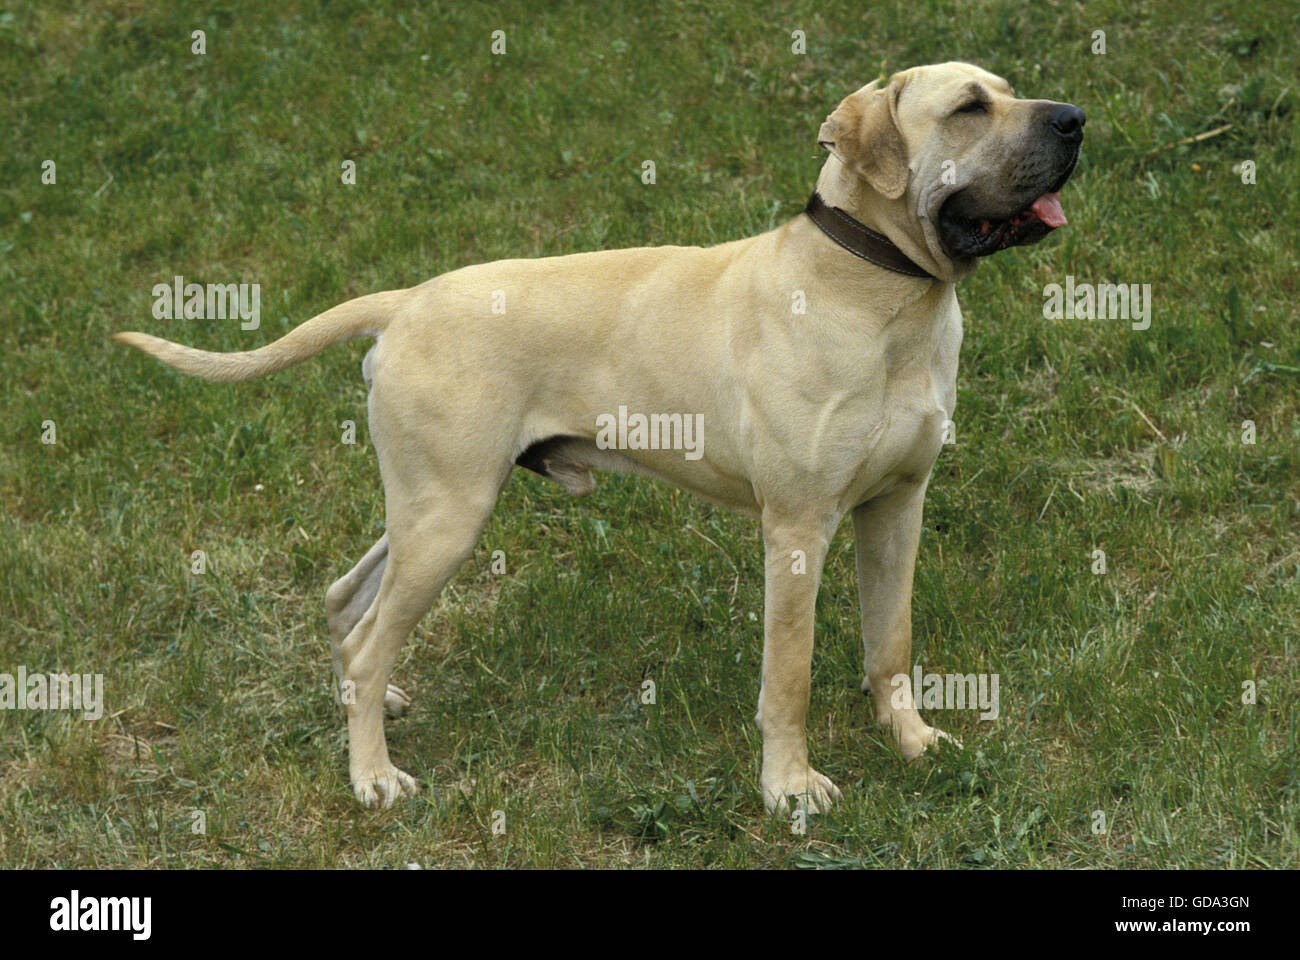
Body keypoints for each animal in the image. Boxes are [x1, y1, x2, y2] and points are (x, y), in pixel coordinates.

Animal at [116, 61, 1081, 806]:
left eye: (1008, 90)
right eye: (969, 107)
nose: (1076, 119)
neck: (877, 289)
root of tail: (407, 301)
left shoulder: (897, 508)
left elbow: (892, 644)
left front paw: (910, 742)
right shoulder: (798, 529)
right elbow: (790, 676)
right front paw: (789, 788)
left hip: (426, 510)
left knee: (348, 603)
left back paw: (374, 709)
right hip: (448, 519)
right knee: (367, 638)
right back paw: (372, 776)